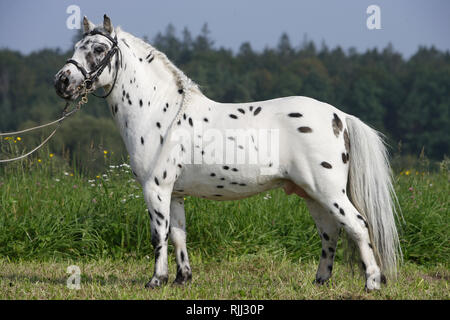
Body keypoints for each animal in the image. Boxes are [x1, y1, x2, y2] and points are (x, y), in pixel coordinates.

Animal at [54, 15, 402, 292]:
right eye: (77, 46)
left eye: (99, 49)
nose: (62, 82)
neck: (159, 113)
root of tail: (339, 116)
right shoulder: (175, 193)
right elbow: (178, 234)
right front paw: (182, 279)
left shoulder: (156, 189)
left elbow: (159, 235)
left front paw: (155, 281)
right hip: (311, 193)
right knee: (330, 232)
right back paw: (320, 282)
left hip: (328, 191)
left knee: (357, 226)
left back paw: (372, 282)